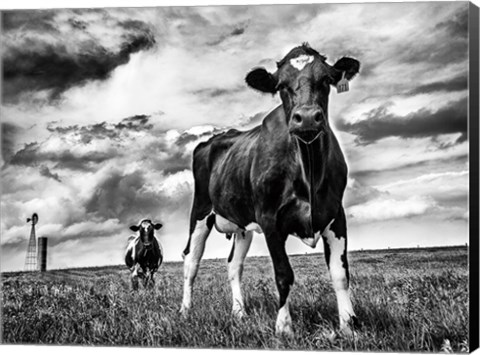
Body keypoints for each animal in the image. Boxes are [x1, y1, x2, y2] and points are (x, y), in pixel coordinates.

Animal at [180, 44, 360, 340]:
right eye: (281, 85)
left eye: (326, 80)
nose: (306, 118)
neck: (308, 169)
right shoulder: (270, 219)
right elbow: (283, 274)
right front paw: (284, 327)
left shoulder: (336, 215)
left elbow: (340, 274)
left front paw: (349, 326)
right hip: (201, 211)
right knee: (190, 262)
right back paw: (185, 311)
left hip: (242, 223)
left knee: (234, 265)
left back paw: (239, 313)